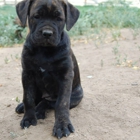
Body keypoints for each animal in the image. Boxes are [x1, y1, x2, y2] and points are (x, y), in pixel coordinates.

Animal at [15, 0, 83, 138]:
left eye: (59, 19)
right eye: (37, 16)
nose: (47, 33)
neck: (44, 50)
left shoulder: (65, 76)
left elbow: (61, 103)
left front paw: (62, 125)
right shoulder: (27, 74)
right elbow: (28, 98)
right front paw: (28, 118)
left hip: (75, 97)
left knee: (48, 102)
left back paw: (40, 111)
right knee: (39, 99)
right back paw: (23, 107)